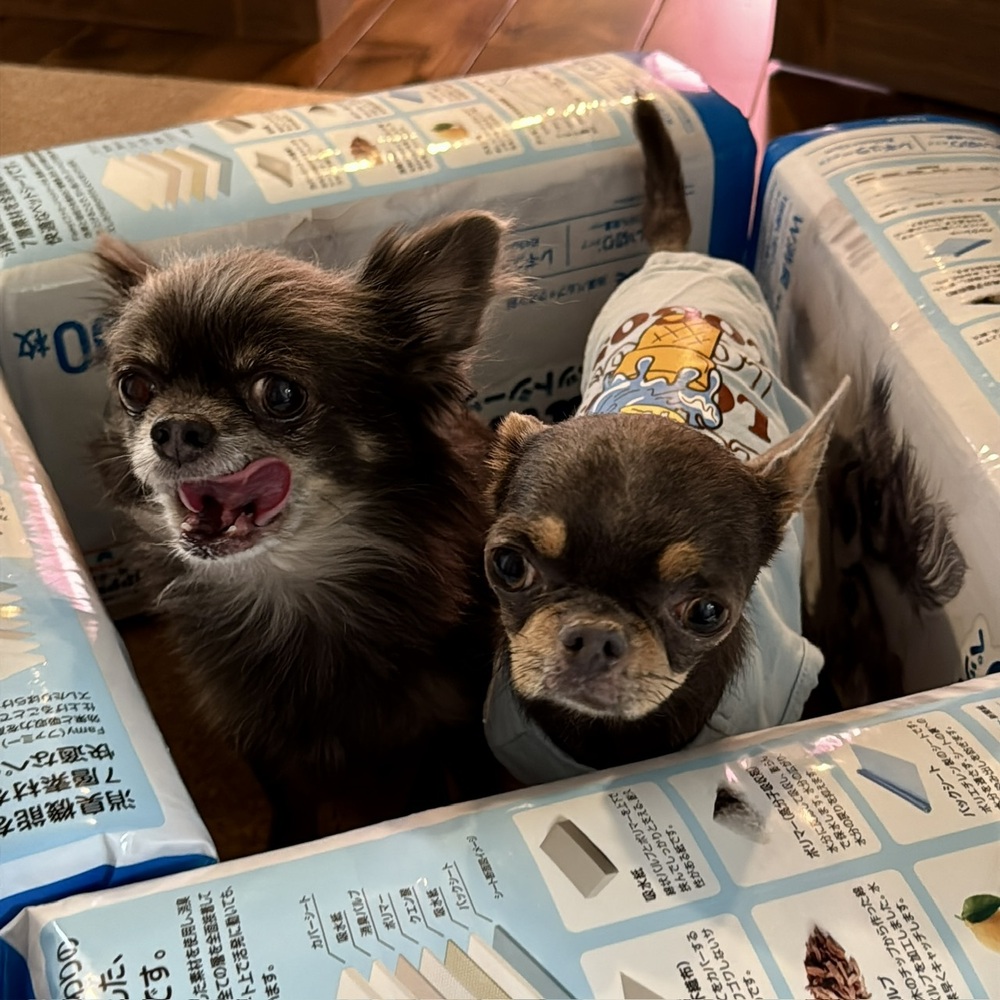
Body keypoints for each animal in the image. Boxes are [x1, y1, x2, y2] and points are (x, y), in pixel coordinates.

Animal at [95, 212, 513, 845]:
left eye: (281, 393)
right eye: (134, 387)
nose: (173, 430)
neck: (290, 587)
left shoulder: (452, 718)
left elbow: (449, 783)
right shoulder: (260, 735)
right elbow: (291, 803)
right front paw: (288, 844)